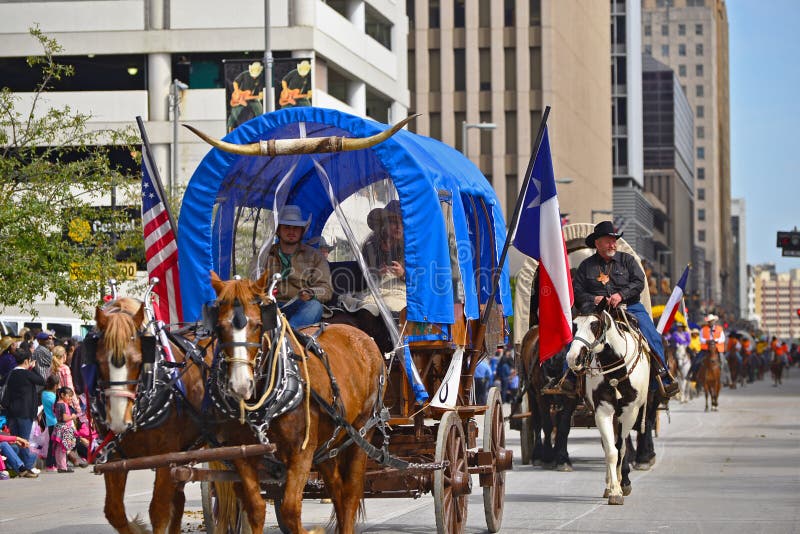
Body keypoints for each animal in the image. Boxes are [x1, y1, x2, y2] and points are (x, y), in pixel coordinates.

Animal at [92, 300, 211, 532]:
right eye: (99, 361)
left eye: (138, 361)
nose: (118, 420)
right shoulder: (115, 458)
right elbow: (115, 512)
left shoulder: (167, 455)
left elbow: (159, 511)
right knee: (179, 499)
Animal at [208, 272, 386, 534]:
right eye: (220, 327)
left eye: (258, 325)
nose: (240, 385)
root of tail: (363, 337)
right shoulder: (242, 455)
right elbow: (256, 508)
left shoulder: (301, 452)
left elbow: (291, 510)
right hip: (328, 445)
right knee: (337, 491)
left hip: (362, 433)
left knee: (351, 494)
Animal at [564, 310, 648, 506]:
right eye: (574, 325)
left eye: (594, 325)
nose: (573, 358)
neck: (617, 372)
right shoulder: (602, 411)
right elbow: (611, 451)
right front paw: (614, 490)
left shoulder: (630, 413)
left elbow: (621, 448)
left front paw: (622, 484)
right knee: (608, 445)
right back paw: (610, 484)